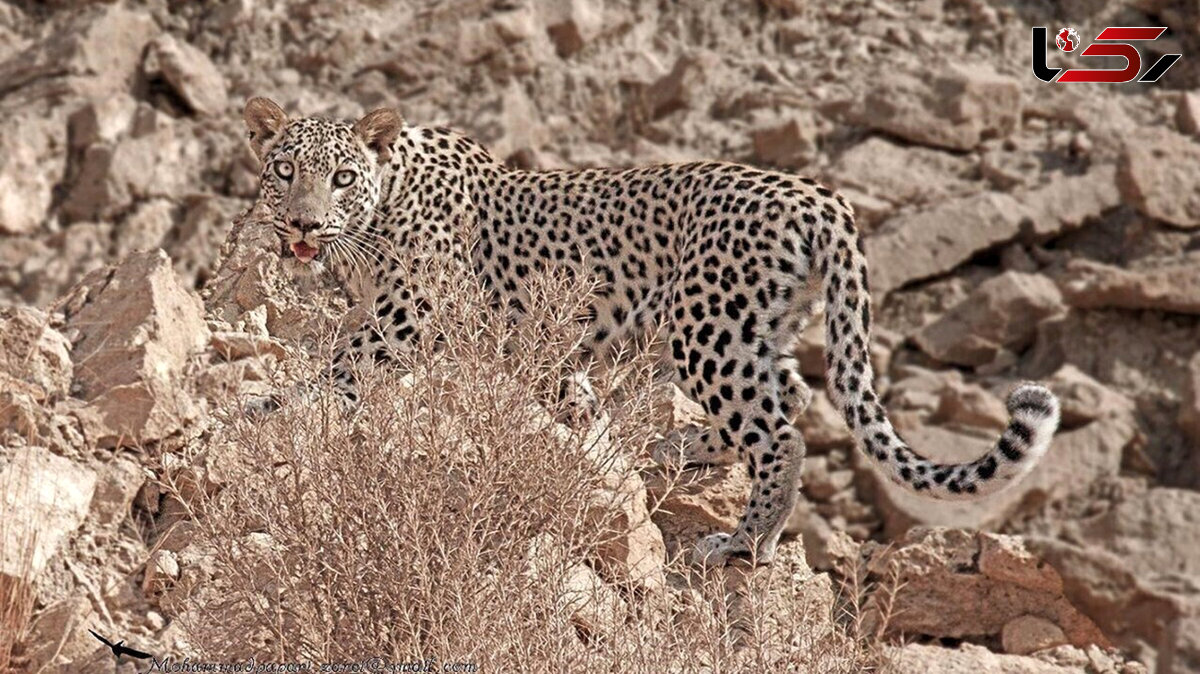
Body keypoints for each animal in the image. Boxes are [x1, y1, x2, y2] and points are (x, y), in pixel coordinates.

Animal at [241, 97, 1060, 563]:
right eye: (283, 171)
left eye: (341, 178)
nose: (303, 224)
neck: (379, 209)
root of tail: (819, 194)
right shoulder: (543, 344)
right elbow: (566, 397)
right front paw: (591, 442)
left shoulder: (411, 312)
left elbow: (345, 368)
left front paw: (279, 405)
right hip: (761, 326)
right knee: (788, 396)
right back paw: (674, 449)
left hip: (710, 324)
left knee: (779, 430)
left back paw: (742, 540)